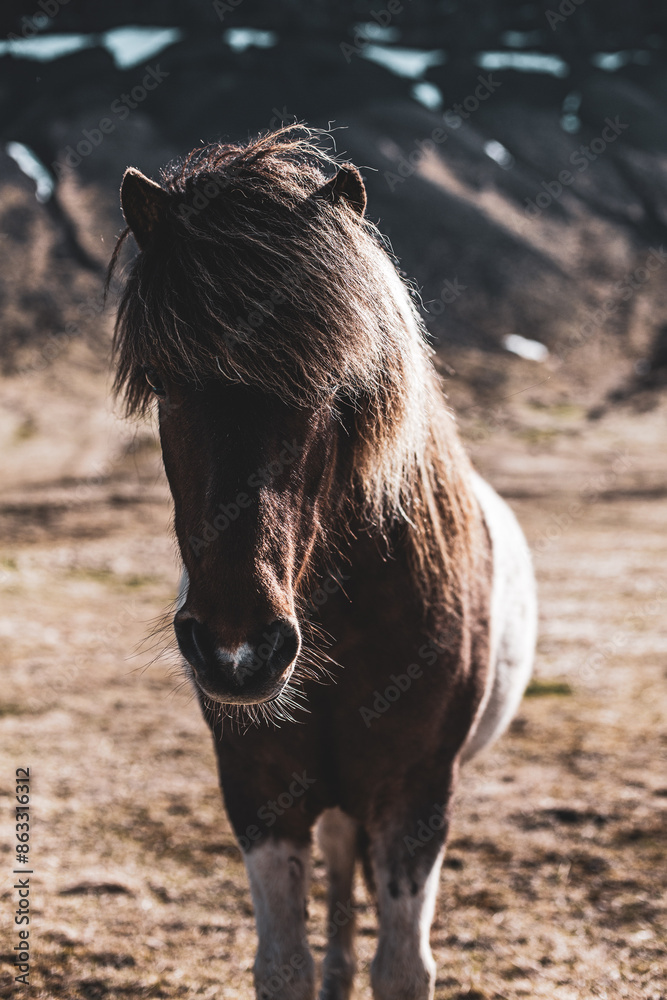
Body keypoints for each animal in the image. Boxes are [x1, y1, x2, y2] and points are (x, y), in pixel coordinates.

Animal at [110, 127, 537, 1000]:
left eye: (333, 382)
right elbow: (284, 964)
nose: (238, 650)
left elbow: (403, 966)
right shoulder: (260, 794)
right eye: (163, 380)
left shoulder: (414, 799)